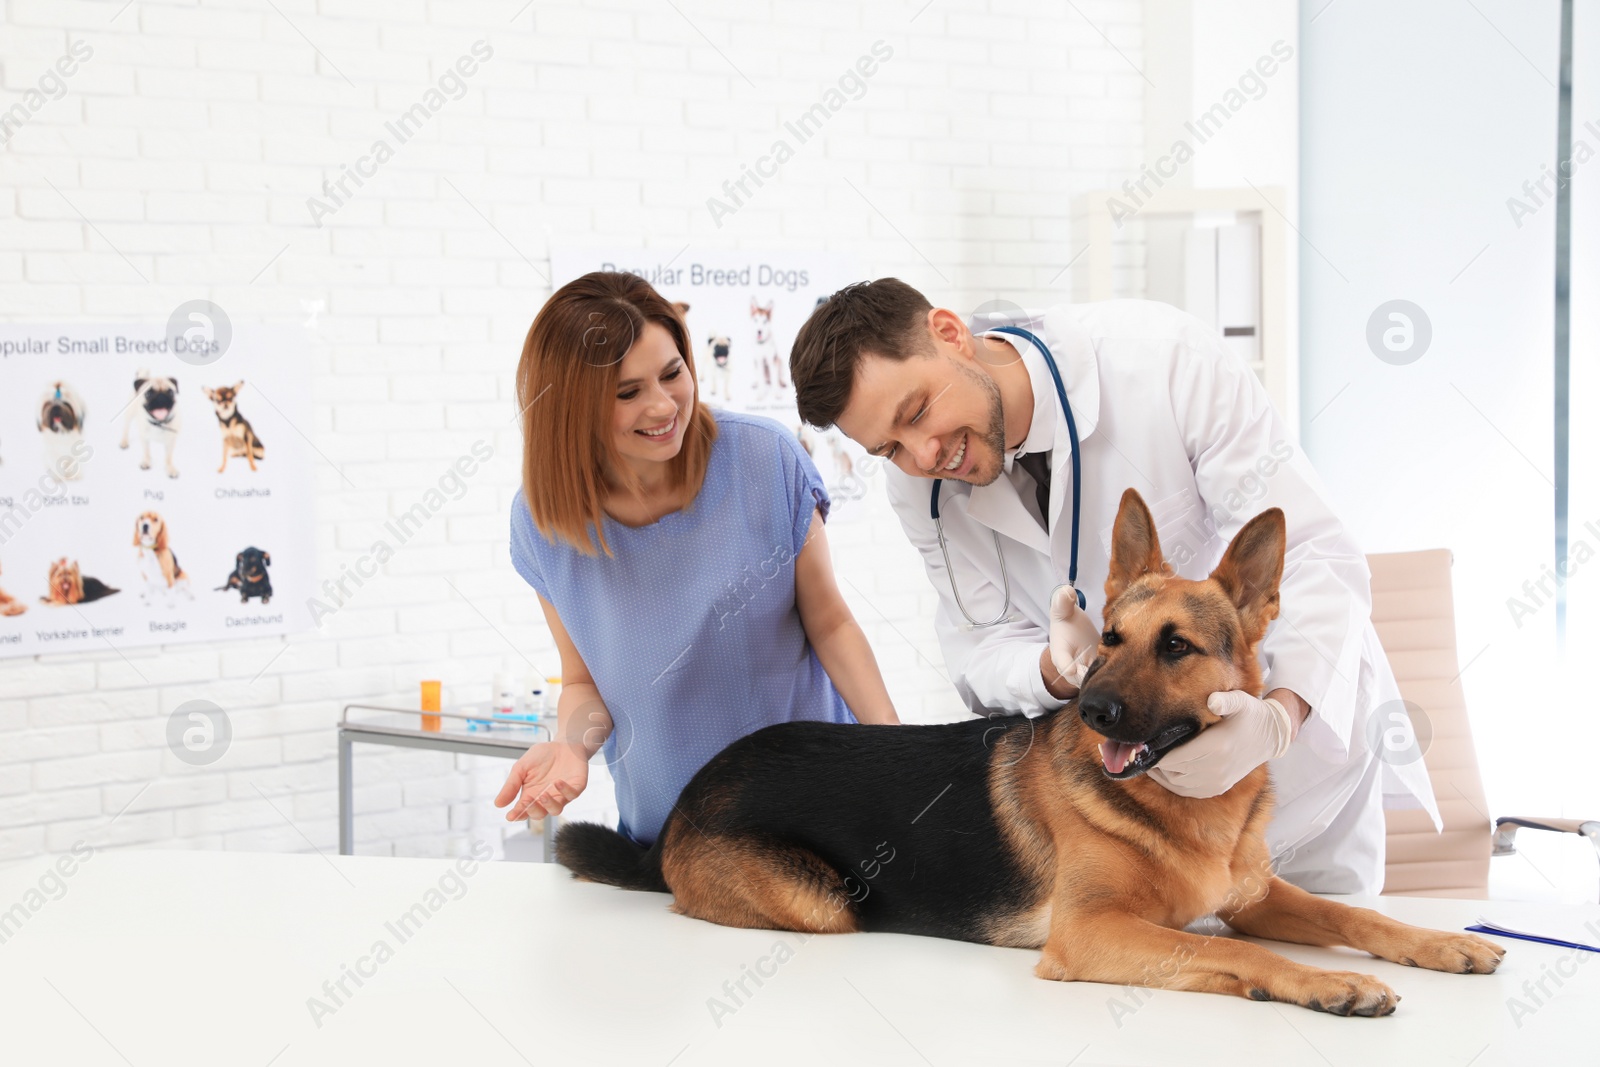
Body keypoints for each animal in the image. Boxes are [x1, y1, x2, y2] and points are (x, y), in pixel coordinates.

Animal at [560, 492, 1497, 1017]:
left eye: (1176, 646)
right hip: (824, 902)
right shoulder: (1095, 932)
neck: (1189, 807)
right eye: (1108, 637)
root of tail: (686, 795)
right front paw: (1320, 983)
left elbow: (1356, 916)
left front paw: (1437, 941)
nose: (1090, 707)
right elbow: (1235, 953)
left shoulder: (1256, 896)